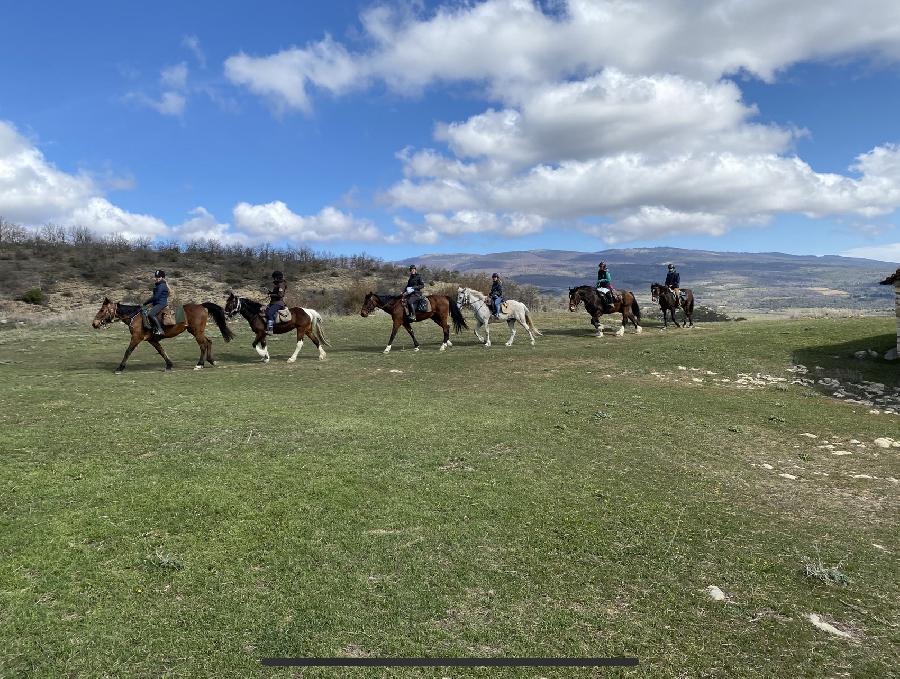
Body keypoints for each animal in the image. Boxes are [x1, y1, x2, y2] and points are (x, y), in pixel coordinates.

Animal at [90, 296, 232, 372]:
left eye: (102, 310)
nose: (94, 323)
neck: (135, 317)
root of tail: (202, 306)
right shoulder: (152, 340)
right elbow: (162, 351)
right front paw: (169, 365)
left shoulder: (136, 338)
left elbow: (128, 351)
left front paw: (120, 368)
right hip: (195, 331)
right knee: (208, 342)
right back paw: (211, 360)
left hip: (197, 332)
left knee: (203, 345)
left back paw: (200, 364)